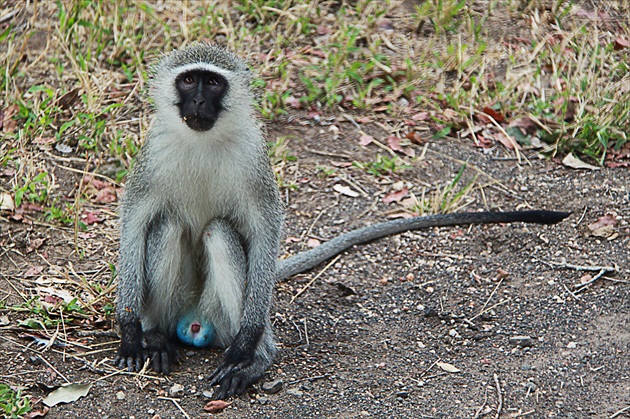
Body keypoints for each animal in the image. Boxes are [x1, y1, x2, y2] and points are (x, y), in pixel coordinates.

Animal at [115, 42, 572, 400]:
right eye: (188, 81)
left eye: (212, 84)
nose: (197, 103)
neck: (202, 138)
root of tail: (194, 321)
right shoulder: (153, 152)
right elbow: (135, 220)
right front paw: (129, 328)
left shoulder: (253, 156)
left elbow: (265, 231)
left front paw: (248, 346)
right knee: (167, 226)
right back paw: (156, 338)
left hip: (221, 312)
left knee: (220, 233)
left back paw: (256, 359)